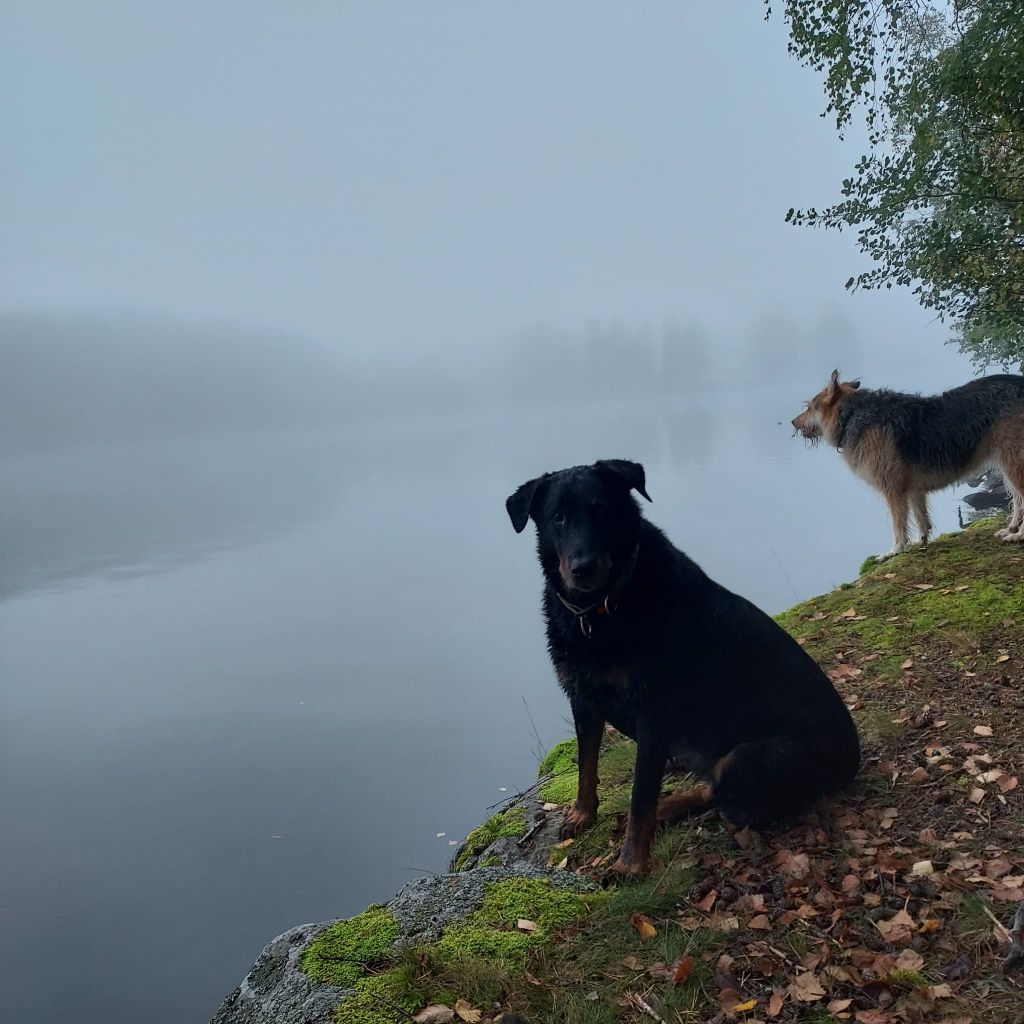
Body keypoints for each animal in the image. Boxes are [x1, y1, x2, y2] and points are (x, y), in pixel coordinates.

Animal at [507, 460, 860, 876]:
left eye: (601, 510)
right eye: (558, 517)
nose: (583, 568)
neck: (604, 607)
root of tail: (853, 760)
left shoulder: (653, 715)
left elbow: (640, 795)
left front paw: (630, 864)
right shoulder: (583, 700)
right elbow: (586, 767)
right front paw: (583, 814)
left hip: (748, 755)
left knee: (726, 795)